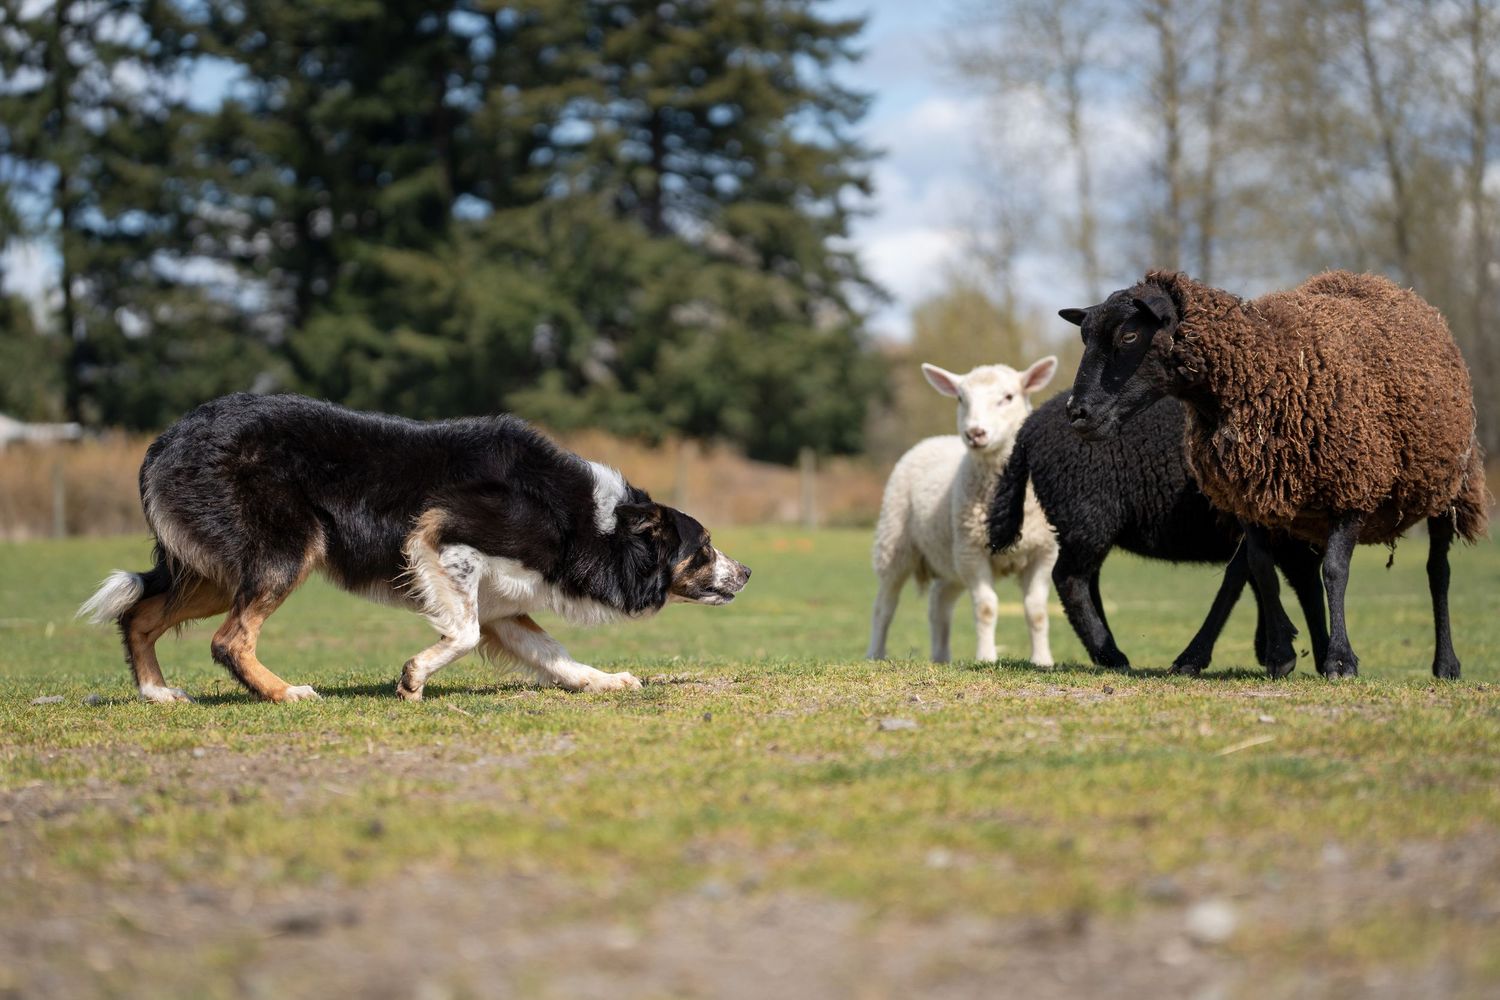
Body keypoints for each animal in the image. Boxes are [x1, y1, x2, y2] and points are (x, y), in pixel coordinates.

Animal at [867, 357, 1060, 665]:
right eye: (961, 398)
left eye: (1008, 397)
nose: (975, 433)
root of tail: (933, 440)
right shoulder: (972, 551)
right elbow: (986, 608)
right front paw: (986, 658)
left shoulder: (1044, 552)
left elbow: (1037, 610)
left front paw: (1042, 660)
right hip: (894, 543)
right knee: (884, 605)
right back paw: (875, 653)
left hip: (949, 559)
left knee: (939, 604)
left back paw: (941, 657)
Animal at [987, 393, 1327, 673]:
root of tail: (1029, 427)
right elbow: (1251, 582)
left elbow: (1265, 579)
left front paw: (1280, 647)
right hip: (1087, 513)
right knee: (1070, 579)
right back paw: (1110, 653)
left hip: (1085, 523)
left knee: (1086, 580)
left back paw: (1105, 651)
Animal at [1062, 269, 1489, 679]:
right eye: (1084, 337)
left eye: (1129, 334)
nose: (1077, 413)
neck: (1264, 367)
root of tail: (1399, 291)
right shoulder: (1251, 495)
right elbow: (1262, 568)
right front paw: (1281, 655)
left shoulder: (1354, 485)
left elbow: (1336, 572)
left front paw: (1341, 662)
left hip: (1448, 489)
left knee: (1438, 572)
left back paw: (1446, 664)